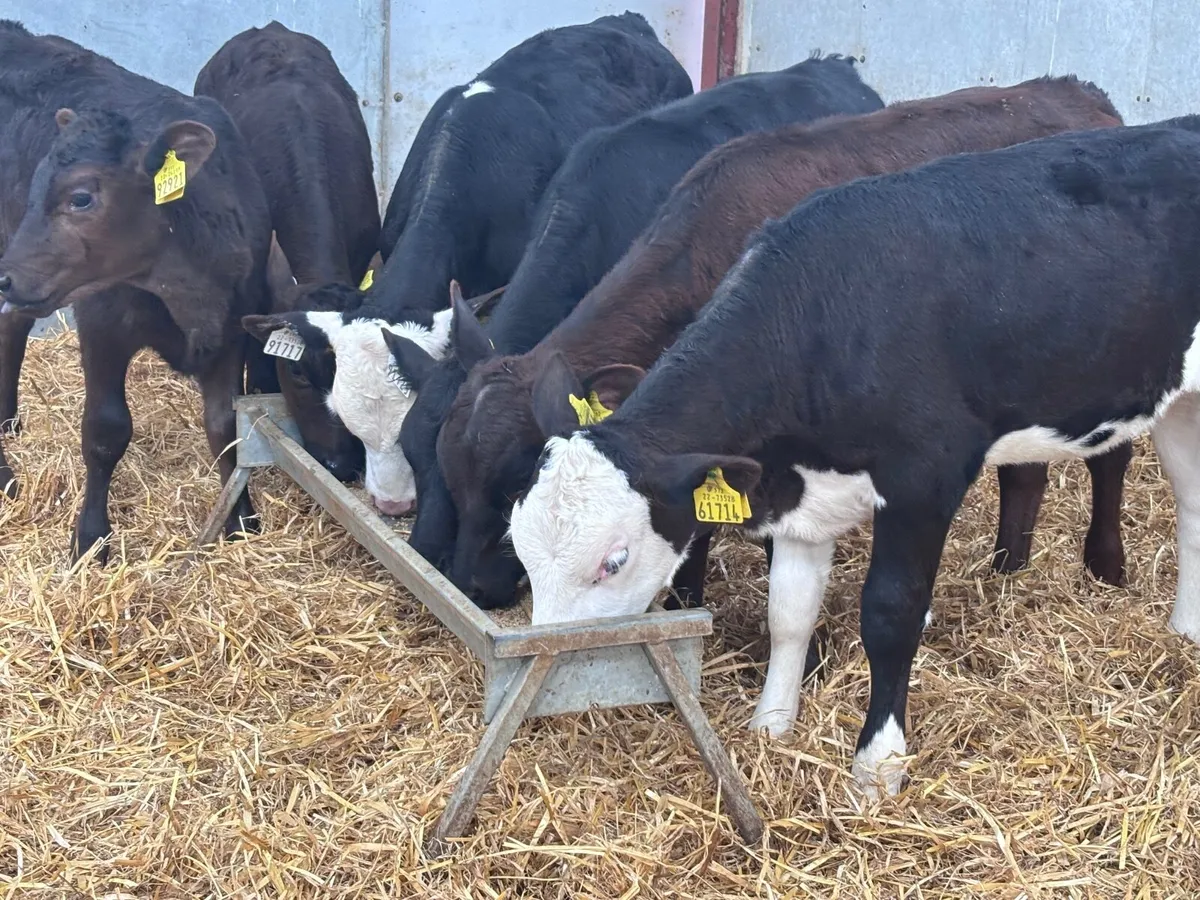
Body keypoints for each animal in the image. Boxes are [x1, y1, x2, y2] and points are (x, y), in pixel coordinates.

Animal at [0, 20, 273, 561]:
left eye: (82, 197)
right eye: (36, 186)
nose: (6, 276)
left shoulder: (234, 328)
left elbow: (225, 428)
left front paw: (240, 520)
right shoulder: (102, 325)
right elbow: (105, 430)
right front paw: (90, 538)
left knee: (12, 323)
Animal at [434, 77, 1126, 611]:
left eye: (514, 482)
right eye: (452, 472)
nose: (471, 587)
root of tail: (1079, 92)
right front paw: (687, 604)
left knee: (1110, 458)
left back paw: (1105, 568)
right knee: (1026, 470)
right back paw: (1007, 569)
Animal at [509, 117, 1200, 799]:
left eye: (613, 561)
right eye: (518, 542)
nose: (537, 688)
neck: (824, 320)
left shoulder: (924, 479)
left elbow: (891, 614)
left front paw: (878, 765)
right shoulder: (802, 493)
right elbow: (788, 613)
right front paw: (771, 726)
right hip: (1180, 404)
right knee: (1192, 506)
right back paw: (1185, 632)